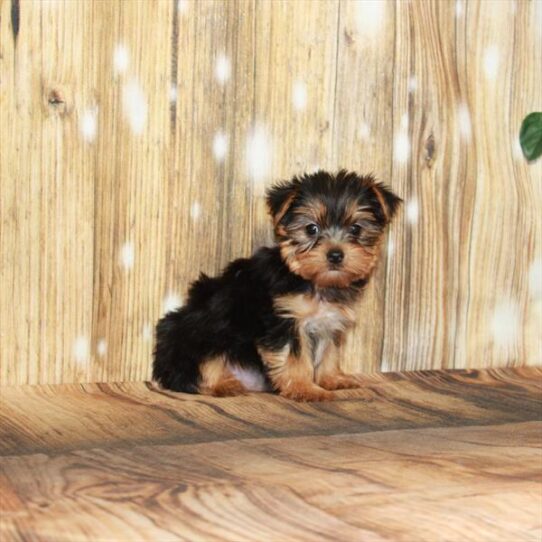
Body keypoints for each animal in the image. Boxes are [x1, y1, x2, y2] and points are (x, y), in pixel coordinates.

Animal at [155, 171, 402, 404]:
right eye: (311, 229)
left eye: (356, 229)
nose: (335, 254)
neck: (314, 282)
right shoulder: (285, 320)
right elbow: (295, 357)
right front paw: (306, 389)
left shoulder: (330, 321)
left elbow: (329, 352)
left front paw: (332, 379)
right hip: (198, 331)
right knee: (195, 368)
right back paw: (223, 384)